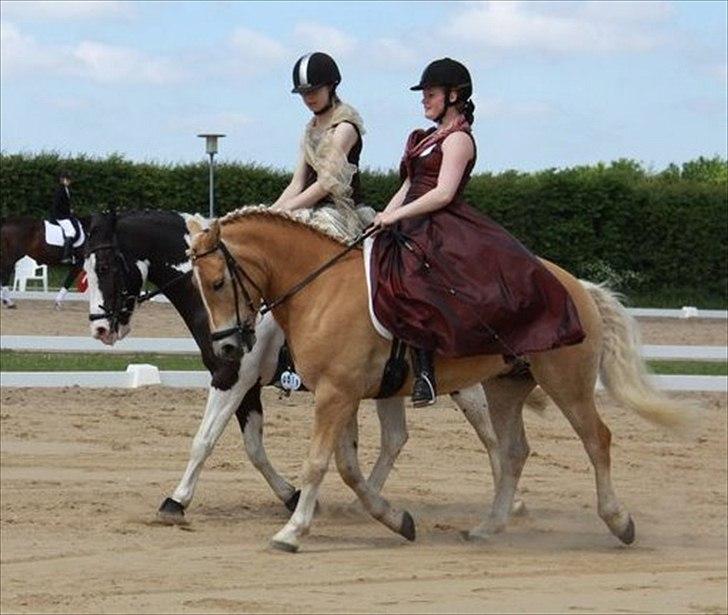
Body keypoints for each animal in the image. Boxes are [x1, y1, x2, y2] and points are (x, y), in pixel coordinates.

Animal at [82, 211, 516, 520]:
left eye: (104, 267)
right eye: (82, 269)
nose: (100, 328)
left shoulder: (231, 377)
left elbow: (204, 440)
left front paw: (176, 501)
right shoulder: (247, 384)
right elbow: (254, 448)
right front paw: (292, 496)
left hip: (456, 381)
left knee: (490, 434)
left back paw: (508, 503)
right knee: (396, 438)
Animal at [188, 208, 692, 552]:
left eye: (216, 283)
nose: (227, 350)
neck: (321, 289)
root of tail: (575, 284)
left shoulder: (333, 394)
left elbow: (316, 463)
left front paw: (291, 531)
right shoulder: (343, 394)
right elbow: (347, 467)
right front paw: (395, 519)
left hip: (566, 383)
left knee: (596, 440)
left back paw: (618, 521)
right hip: (505, 386)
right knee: (512, 450)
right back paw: (490, 526)